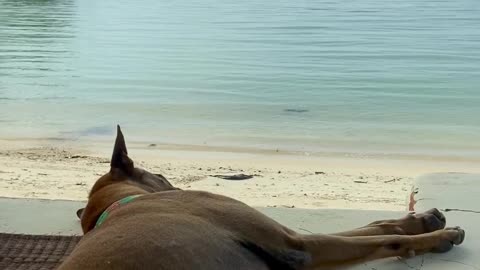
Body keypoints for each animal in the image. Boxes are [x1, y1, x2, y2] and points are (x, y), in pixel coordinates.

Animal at [56, 127, 464, 270]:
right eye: (164, 177)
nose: (173, 187)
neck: (118, 206)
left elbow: (372, 226)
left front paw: (423, 220)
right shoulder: (297, 245)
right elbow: (382, 237)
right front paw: (436, 236)